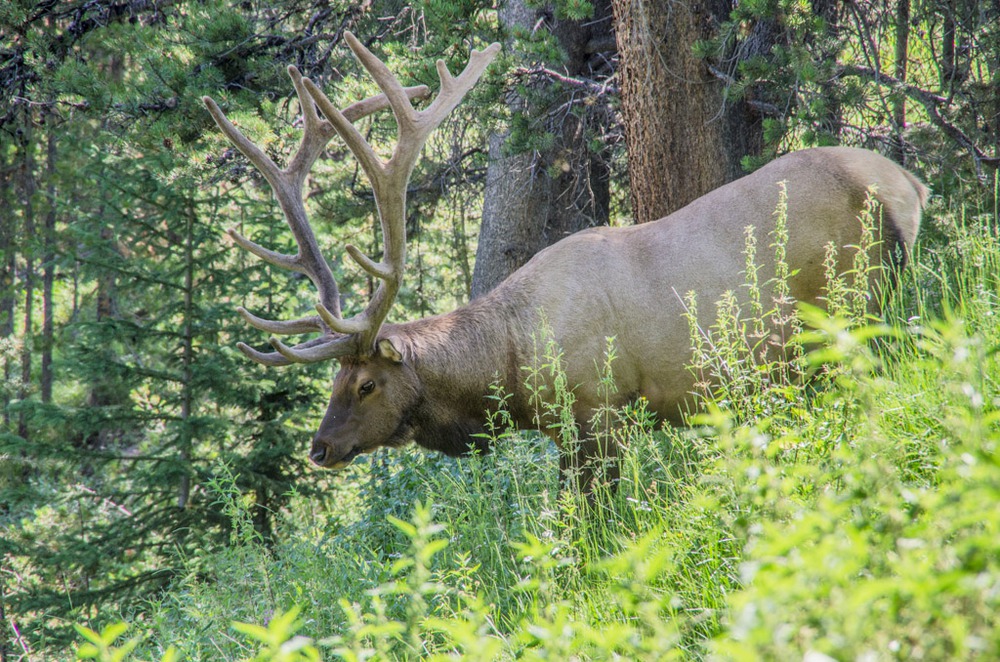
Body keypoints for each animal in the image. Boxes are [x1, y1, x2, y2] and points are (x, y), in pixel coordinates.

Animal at [203, 36, 928, 492]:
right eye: (334, 380)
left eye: (365, 385)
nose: (319, 448)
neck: (512, 364)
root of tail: (910, 187)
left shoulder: (600, 414)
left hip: (856, 302)